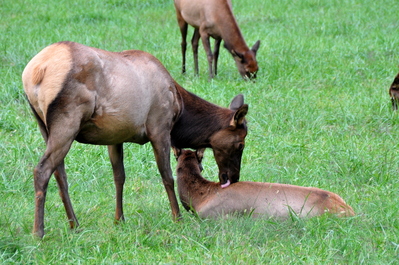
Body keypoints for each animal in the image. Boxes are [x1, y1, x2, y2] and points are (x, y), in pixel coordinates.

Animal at [21, 41, 248, 237]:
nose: (234, 177)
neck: (181, 110)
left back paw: (74, 224)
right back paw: (38, 232)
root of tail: (35, 72)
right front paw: (177, 217)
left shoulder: (115, 136)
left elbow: (119, 177)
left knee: (60, 174)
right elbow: (167, 176)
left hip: (43, 125)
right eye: (241, 144)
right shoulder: (160, 128)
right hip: (67, 120)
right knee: (42, 170)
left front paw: (119, 219)